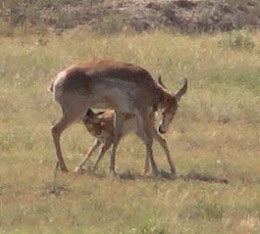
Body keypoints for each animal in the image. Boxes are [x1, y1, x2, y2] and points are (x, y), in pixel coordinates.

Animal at [49, 59, 187, 176]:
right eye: (174, 109)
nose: (163, 129)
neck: (150, 86)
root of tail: (58, 78)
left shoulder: (120, 111)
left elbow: (116, 138)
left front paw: (112, 170)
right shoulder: (142, 112)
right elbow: (149, 140)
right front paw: (155, 171)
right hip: (74, 112)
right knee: (55, 129)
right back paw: (64, 167)